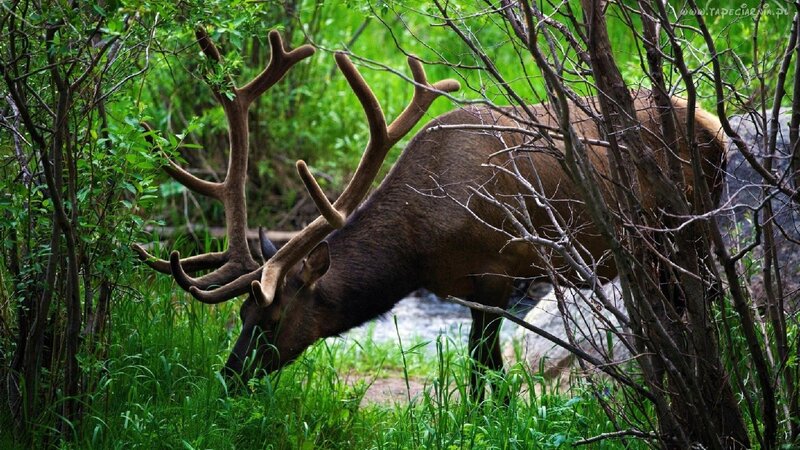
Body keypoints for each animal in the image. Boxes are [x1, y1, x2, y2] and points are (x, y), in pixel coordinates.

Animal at [134, 28, 727, 399]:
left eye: (273, 319)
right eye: (241, 316)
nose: (229, 379)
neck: (419, 248)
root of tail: (712, 124)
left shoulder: (497, 271)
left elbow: (483, 369)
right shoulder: (464, 286)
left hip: (686, 229)